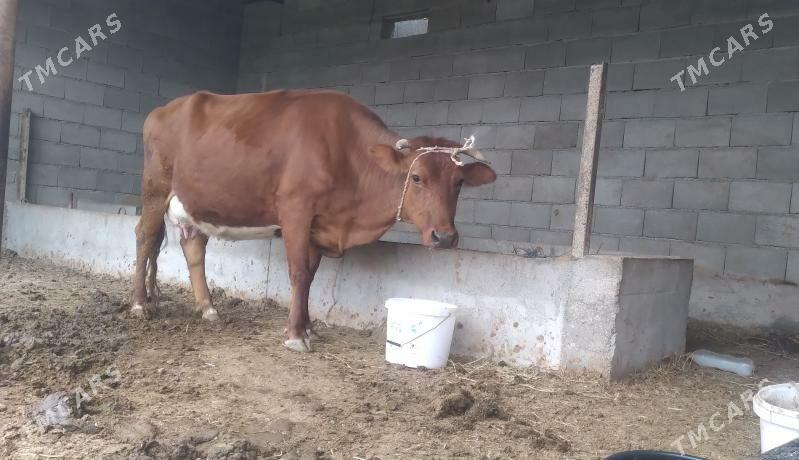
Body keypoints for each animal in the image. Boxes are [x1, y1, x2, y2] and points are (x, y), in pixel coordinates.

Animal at [132, 89, 497, 352]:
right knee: (145, 237)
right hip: (155, 188)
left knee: (193, 246)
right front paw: (295, 335)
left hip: (195, 204)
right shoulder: (296, 210)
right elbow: (298, 272)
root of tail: (163, 108)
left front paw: (307, 328)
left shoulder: (319, 226)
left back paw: (207, 308)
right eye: (417, 177)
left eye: (459, 183)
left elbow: (310, 276)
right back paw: (140, 304)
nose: (444, 237)